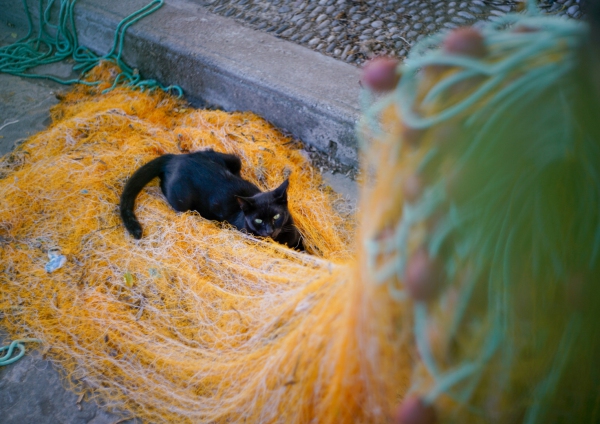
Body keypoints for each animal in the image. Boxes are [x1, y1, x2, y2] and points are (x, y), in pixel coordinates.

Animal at [119, 149, 304, 250]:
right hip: (181, 201)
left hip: (234, 160)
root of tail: (176, 158)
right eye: (258, 220)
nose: (269, 231)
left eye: (276, 216)